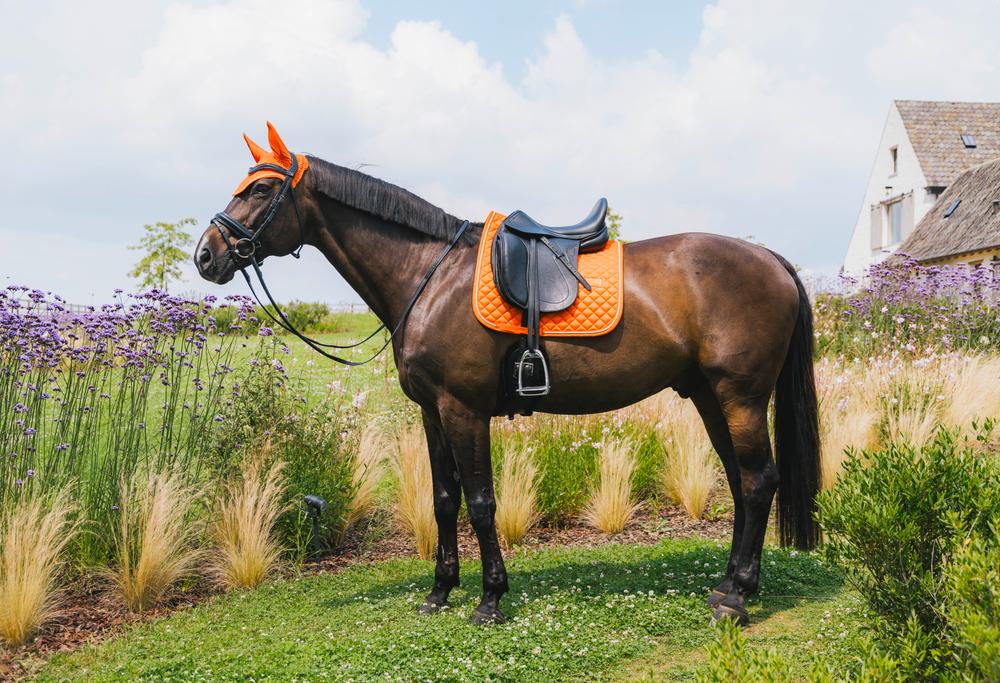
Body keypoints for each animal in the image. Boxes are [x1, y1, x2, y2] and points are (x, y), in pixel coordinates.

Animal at [195, 125, 820, 628]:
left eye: (260, 190)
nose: (207, 254)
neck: (429, 276)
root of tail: (773, 260)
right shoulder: (431, 412)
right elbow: (444, 500)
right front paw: (439, 592)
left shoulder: (463, 409)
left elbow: (480, 501)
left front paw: (490, 599)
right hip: (709, 397)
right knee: (740, 482)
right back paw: (728, 583)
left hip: (740, 397)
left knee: (759, 481)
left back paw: (737, 597)